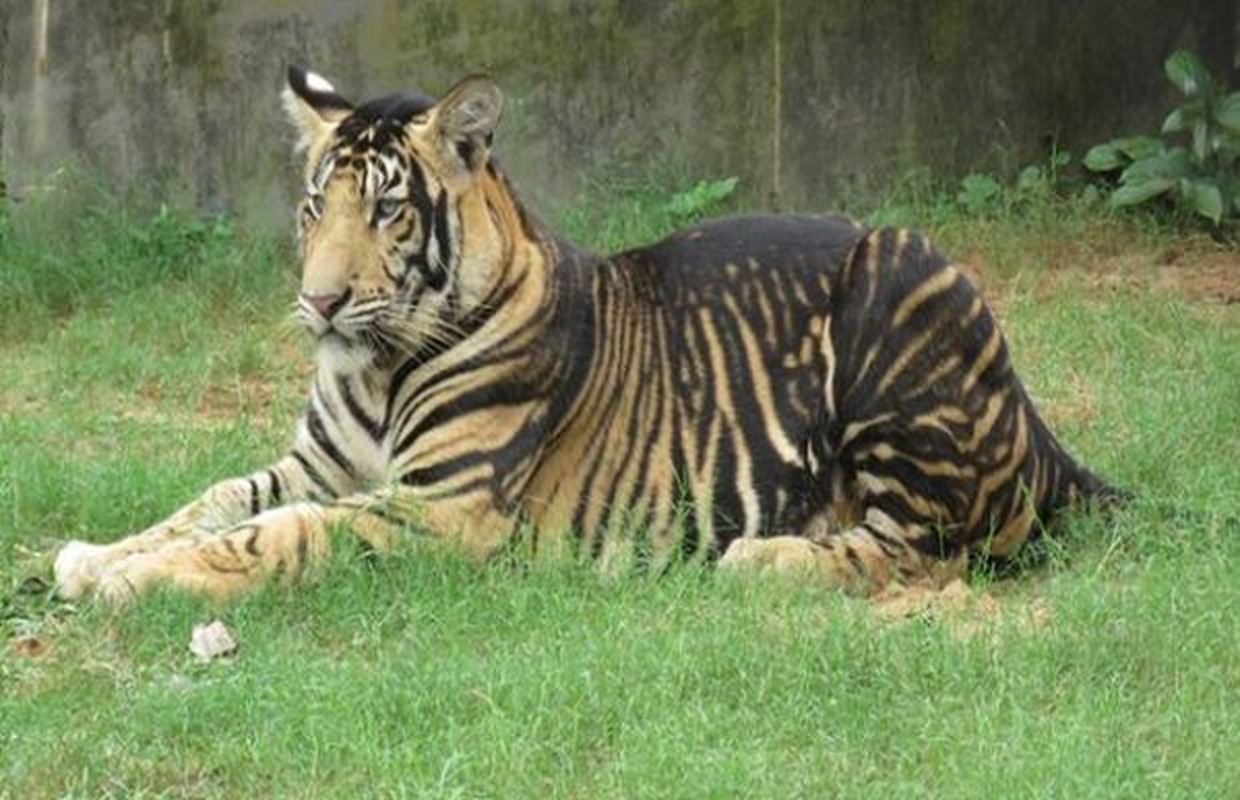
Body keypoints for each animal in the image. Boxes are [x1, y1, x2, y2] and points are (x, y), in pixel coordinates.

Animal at [48, 68, 1120, 602]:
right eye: (318, 207)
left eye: (388, 211)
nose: (319, 303)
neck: (378, 369)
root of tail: (1036, 425)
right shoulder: (320, 464)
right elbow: (217, 498)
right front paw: (91, 554)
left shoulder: (446, 504)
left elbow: (281, 533)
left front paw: (128, 581)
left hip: (898, 279)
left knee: (925, 547)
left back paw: (761, 559)